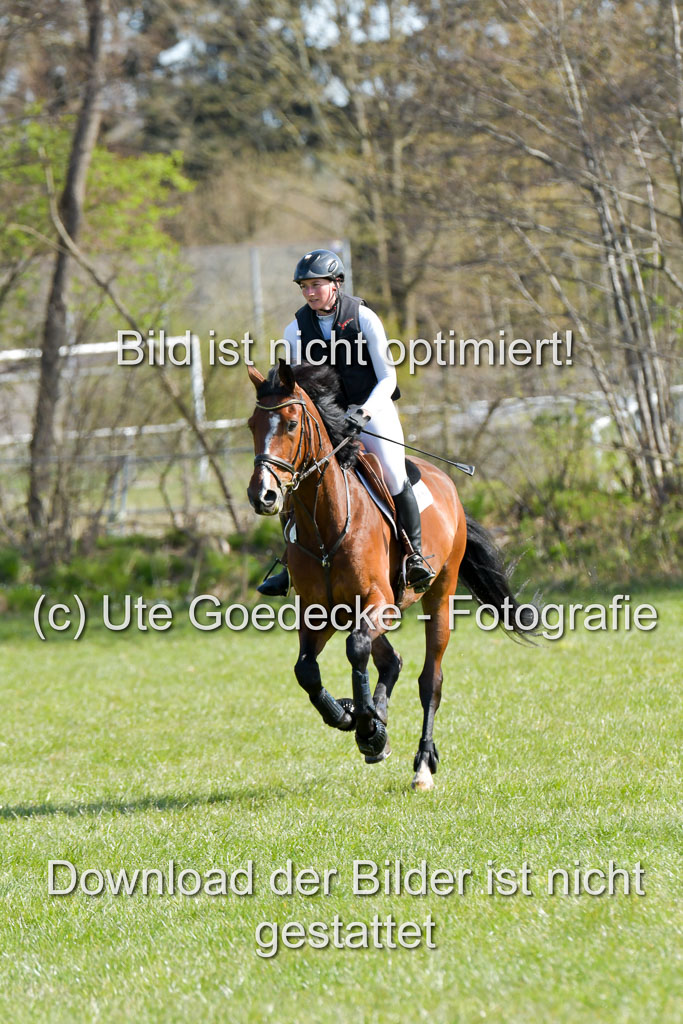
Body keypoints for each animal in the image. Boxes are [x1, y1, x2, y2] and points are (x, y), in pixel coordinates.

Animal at [245, 360, 532, 790]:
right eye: (252, 424)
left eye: (292, 424)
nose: (262, 495)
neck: (325, 524)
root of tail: (447, 483)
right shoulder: (318, 613)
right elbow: (307, 670)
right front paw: (350, 716)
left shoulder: (379, 603)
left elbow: (356, 650)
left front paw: (367, 726)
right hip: (354, 612)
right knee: (389, 660)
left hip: (439, 595)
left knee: (430, 680)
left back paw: (421, 765)